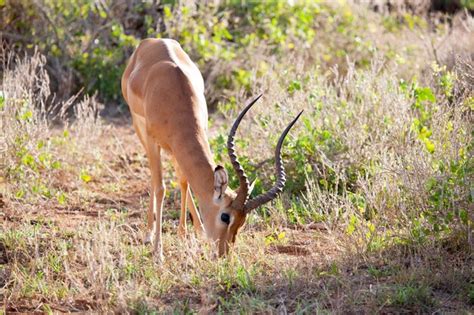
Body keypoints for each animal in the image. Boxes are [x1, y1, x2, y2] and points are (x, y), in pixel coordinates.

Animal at [120, 38, 302, 260]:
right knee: (154, 179)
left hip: (173, 148)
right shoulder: (153, 140)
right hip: (140, 129)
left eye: (242, 220)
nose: (223, 253)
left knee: (179, 178)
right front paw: (158, 252)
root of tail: (151, 42)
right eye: (225, 216)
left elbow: (185, 181)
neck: (173, 91)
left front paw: (185, 235)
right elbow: (161, 187)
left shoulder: (187, 140)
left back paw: (196, 229)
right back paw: (148, 234)